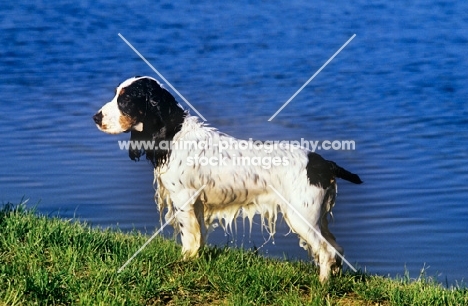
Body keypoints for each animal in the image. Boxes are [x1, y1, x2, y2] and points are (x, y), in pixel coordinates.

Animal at [93, 76, 364, 282]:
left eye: (125, 99)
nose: (96, 117)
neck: (174, 134)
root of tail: (323, 163)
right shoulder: (197, 204)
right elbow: (198, 238)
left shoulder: (183, 199)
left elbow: (189, 238)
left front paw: (184, 263)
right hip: (317, 218)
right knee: (336, 248)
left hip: (301, 217)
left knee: (326, 251)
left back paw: (322, 285)